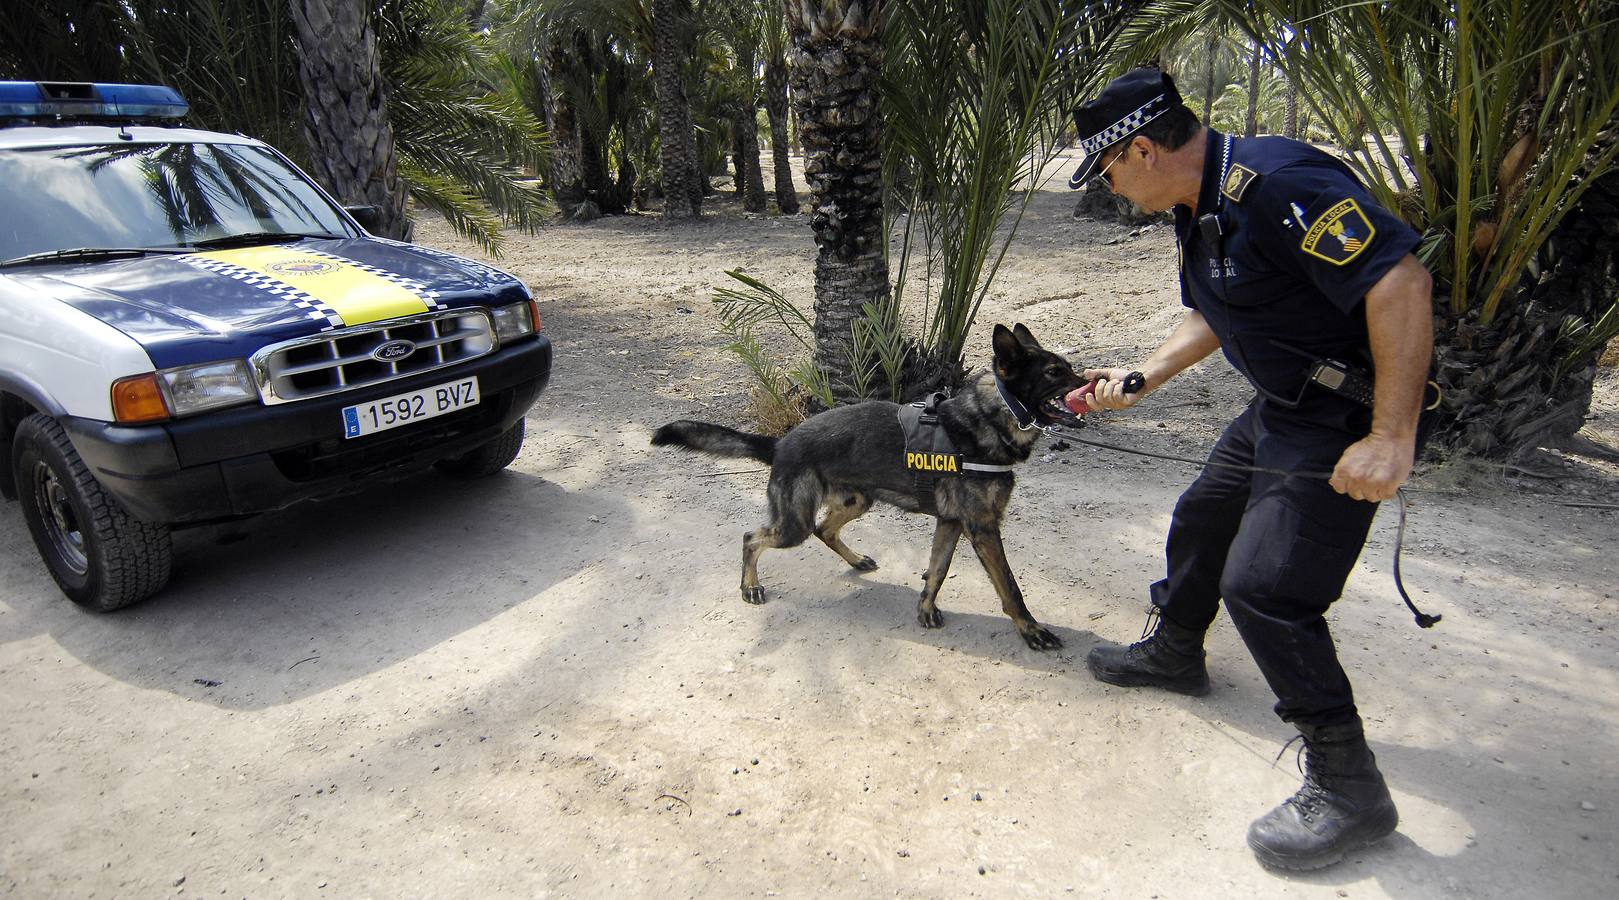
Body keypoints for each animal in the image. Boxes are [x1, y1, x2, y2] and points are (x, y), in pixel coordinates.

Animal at [647, 323, 1087, 647]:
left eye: (1069, 367)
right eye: (1053, 373)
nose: (1093, 383)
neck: (991, 419)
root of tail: (781, 442)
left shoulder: (951, 523)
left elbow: (937, 569)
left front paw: (925, 608)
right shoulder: (982, 528)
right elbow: (1010, 587)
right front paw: (1032, 630)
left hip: (857, 501)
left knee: (824, 530)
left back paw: (856, 560)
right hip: (794, 525)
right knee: (753, 537)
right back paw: (750, 586)